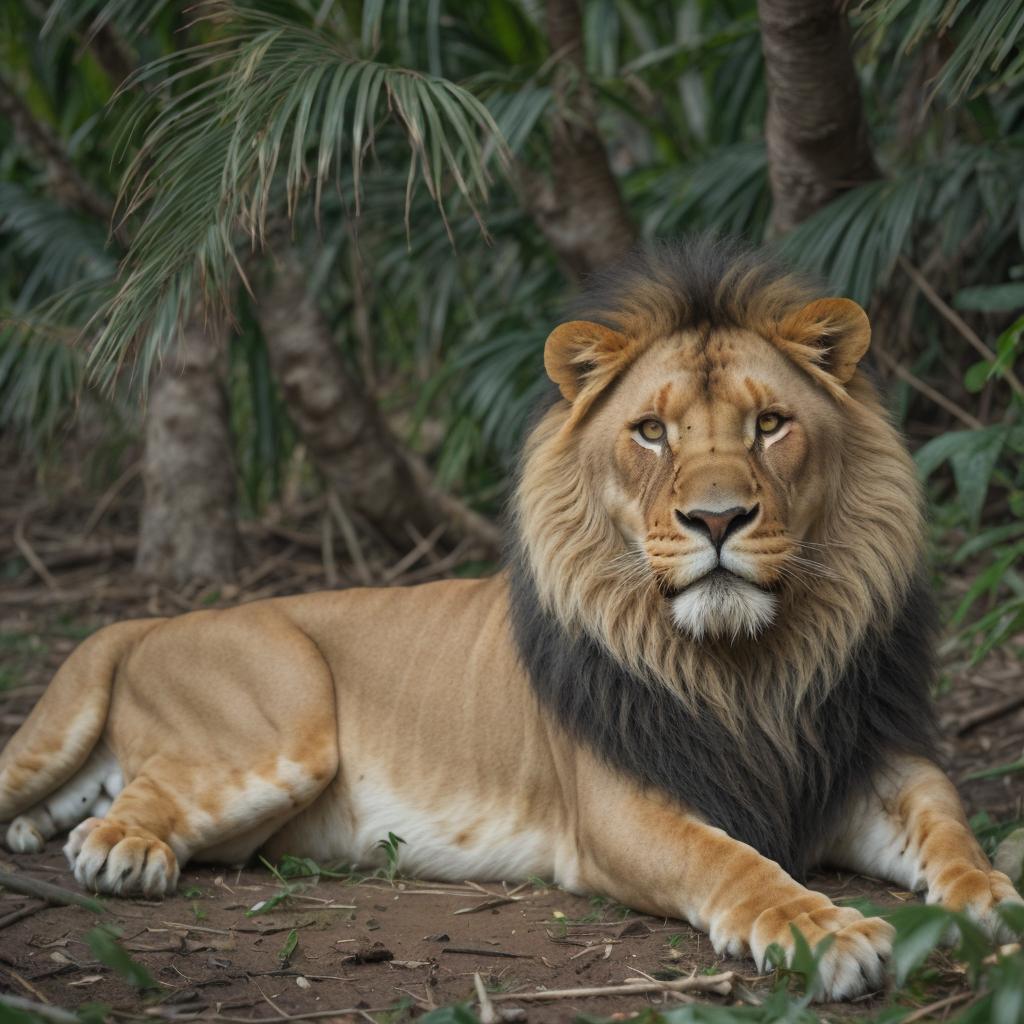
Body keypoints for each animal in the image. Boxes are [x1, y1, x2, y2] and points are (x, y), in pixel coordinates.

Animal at [1, 237, 1019, 1001]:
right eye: (652, 432)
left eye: (770, 424)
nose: (718, 519)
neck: (751, 660)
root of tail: (144, 625)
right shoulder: (621, 809)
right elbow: (734, 866)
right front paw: (825, 931)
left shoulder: (874, 758)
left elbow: (951, 830)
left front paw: (994, 901)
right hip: (282, 721)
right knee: (137, 800)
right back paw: (124, 850)